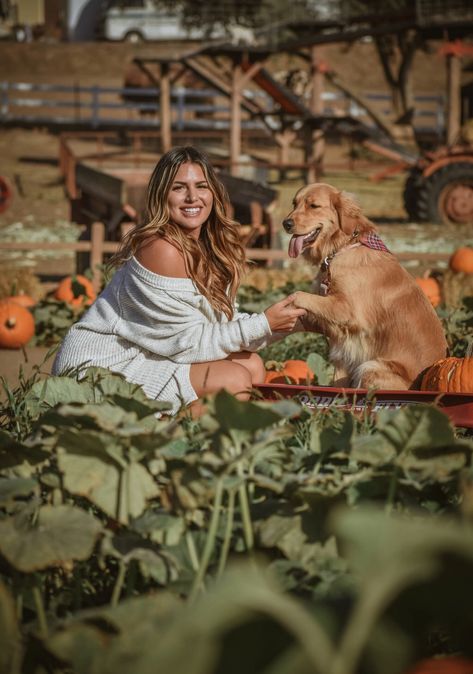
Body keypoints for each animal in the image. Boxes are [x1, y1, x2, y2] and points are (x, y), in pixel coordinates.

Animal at [282, 182, 448, 388]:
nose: (286, 223)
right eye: (294, 203)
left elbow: (299, 294)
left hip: (371, 367)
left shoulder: (347, 310)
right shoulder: (342, 343)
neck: (341, 248)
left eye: (313, 206)